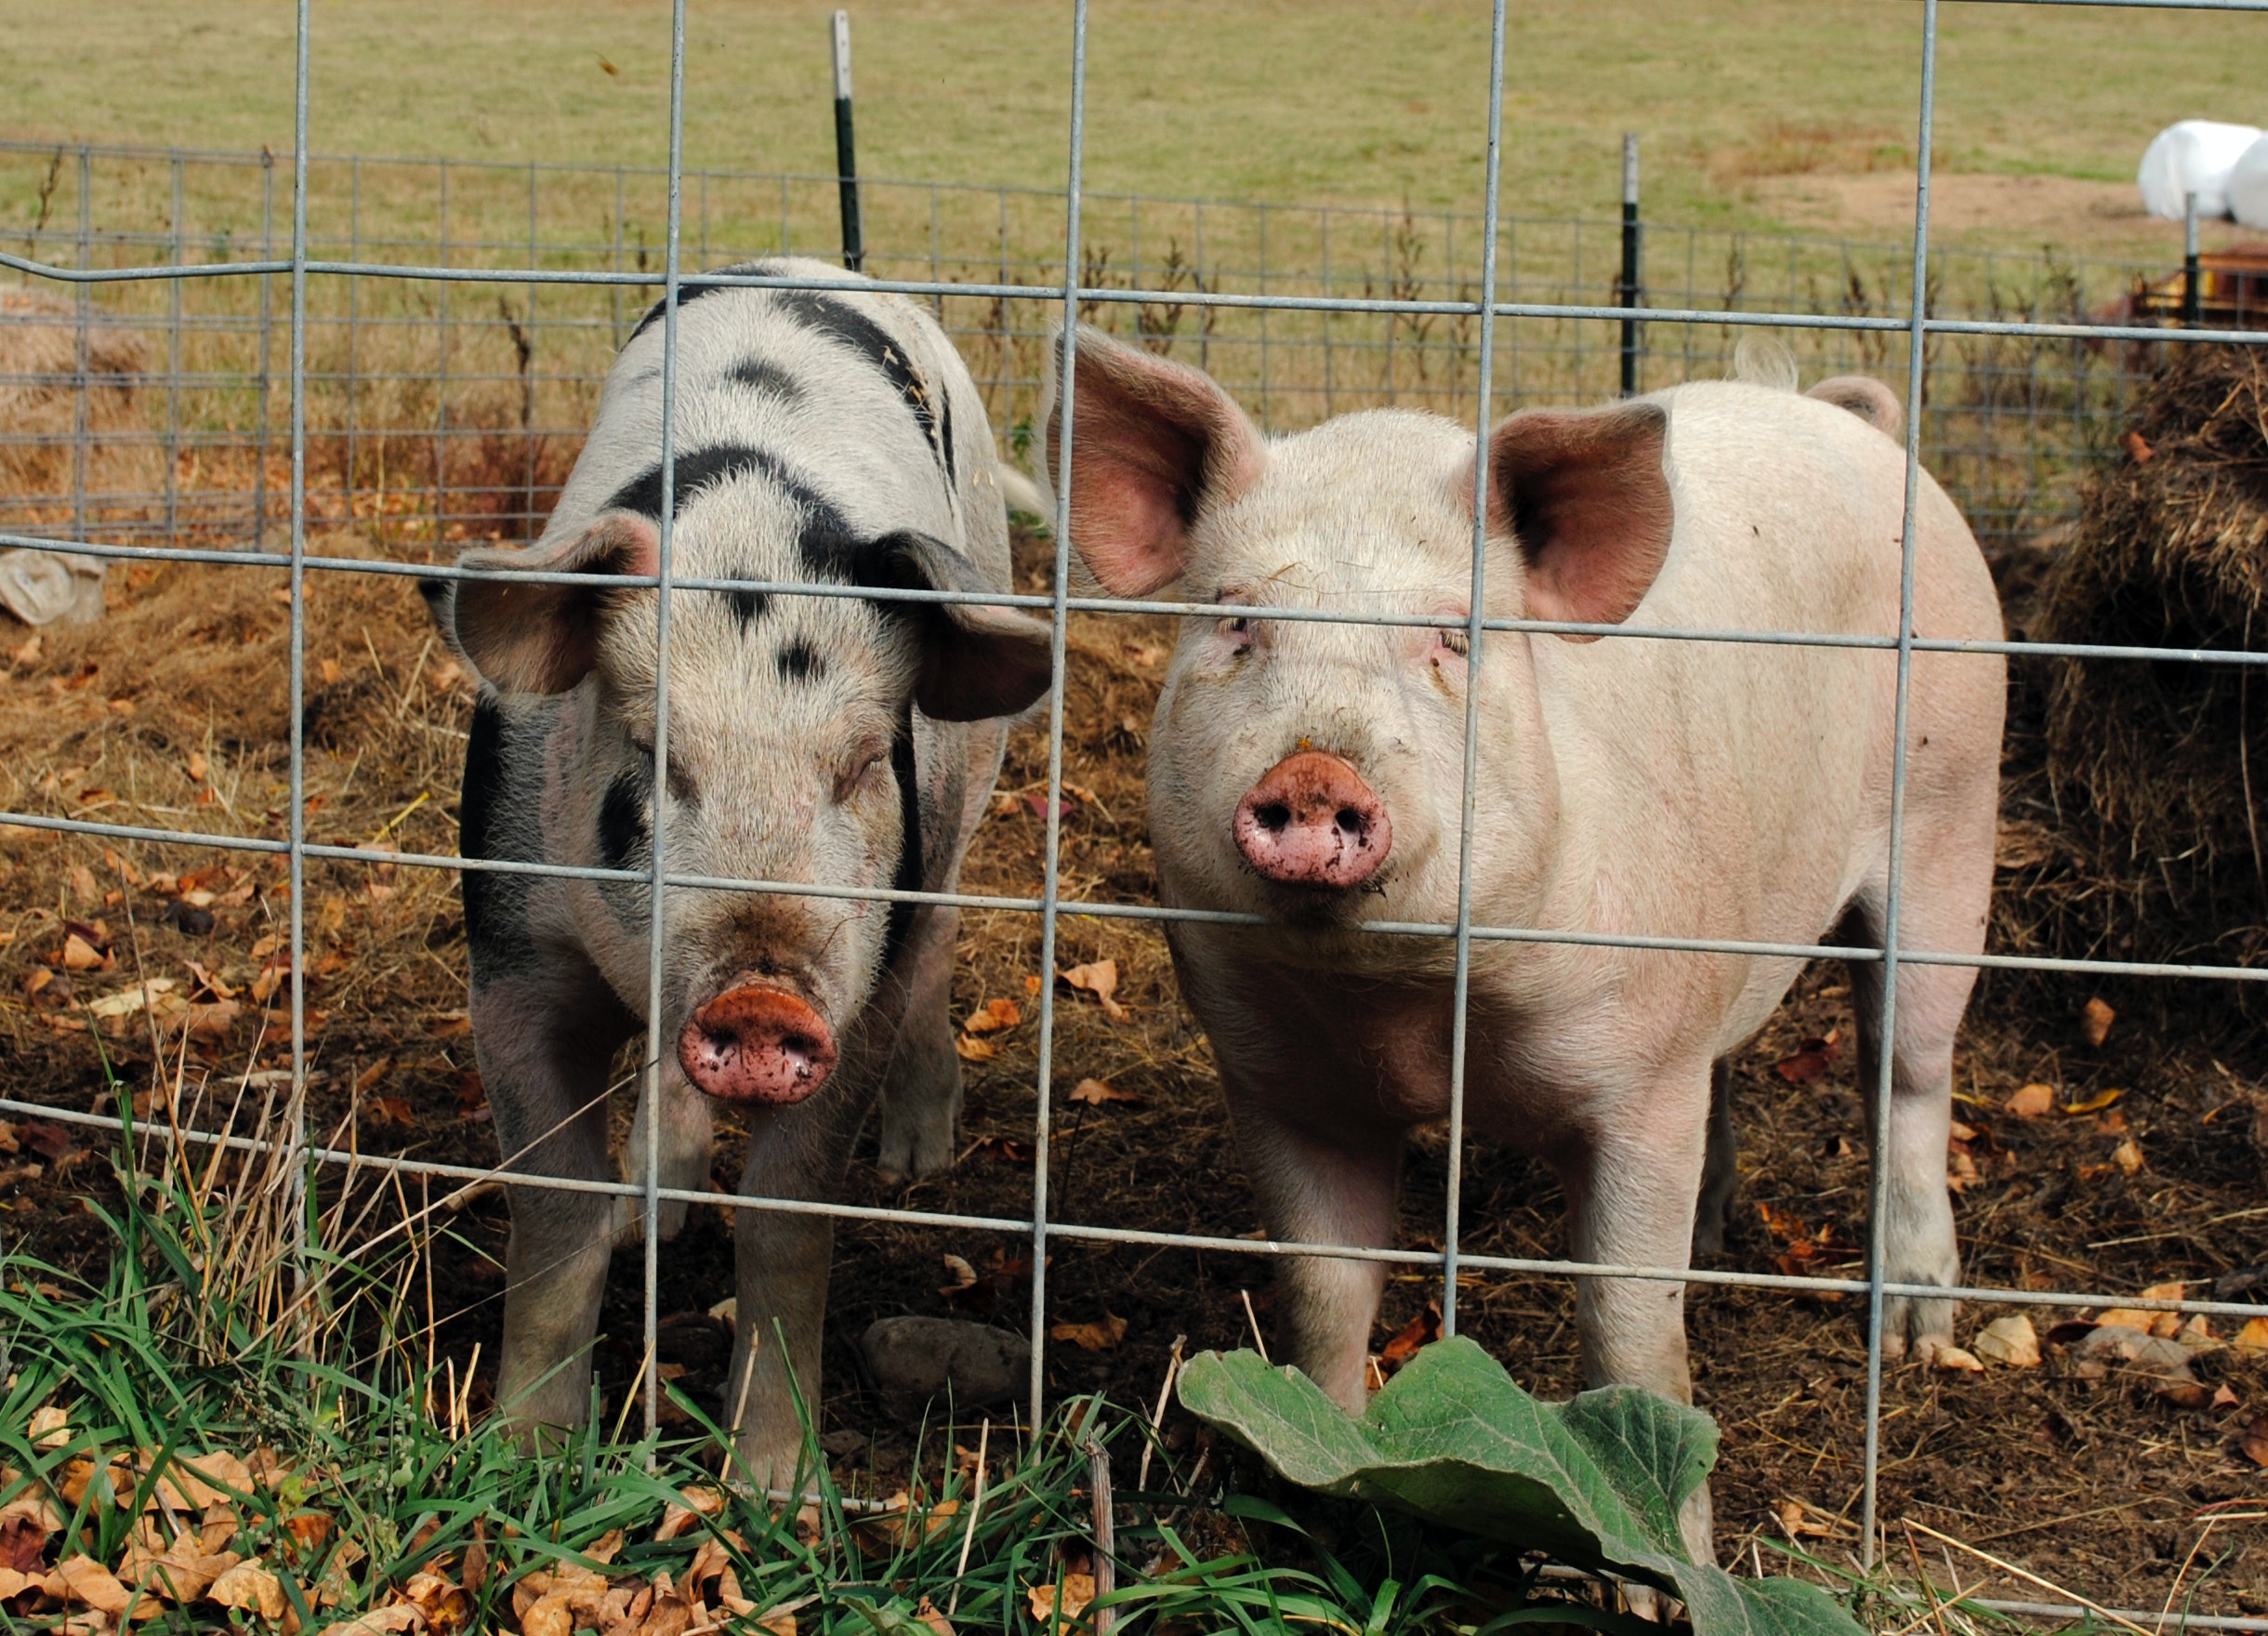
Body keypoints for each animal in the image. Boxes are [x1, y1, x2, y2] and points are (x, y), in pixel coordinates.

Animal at [426, 255, 1052, 1479]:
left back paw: (916, 1160)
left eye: (862, 761)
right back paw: (655, 1207)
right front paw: (525, 1458)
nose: (762, 998)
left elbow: (786, 1221)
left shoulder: (853, 994)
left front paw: (778, 1489)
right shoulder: (509, 958)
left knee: (942, 929)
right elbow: (555, 1211)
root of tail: (811, 265)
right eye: (652, 753)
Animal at [1043, 322, 2004, 1561]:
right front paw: (1328, 1489)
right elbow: (1322, 1293)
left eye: (1454, 638)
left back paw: (1917, 1331)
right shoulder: (1277, 1078)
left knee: (1909, 1071)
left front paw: (1660, 1556)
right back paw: (1720, 1227)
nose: (1314, 772)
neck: (1411, 1014)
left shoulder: (1638, 1082)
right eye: (1236, 618)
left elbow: (1631, 1326)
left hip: (1951, 814)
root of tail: (1848, 420)